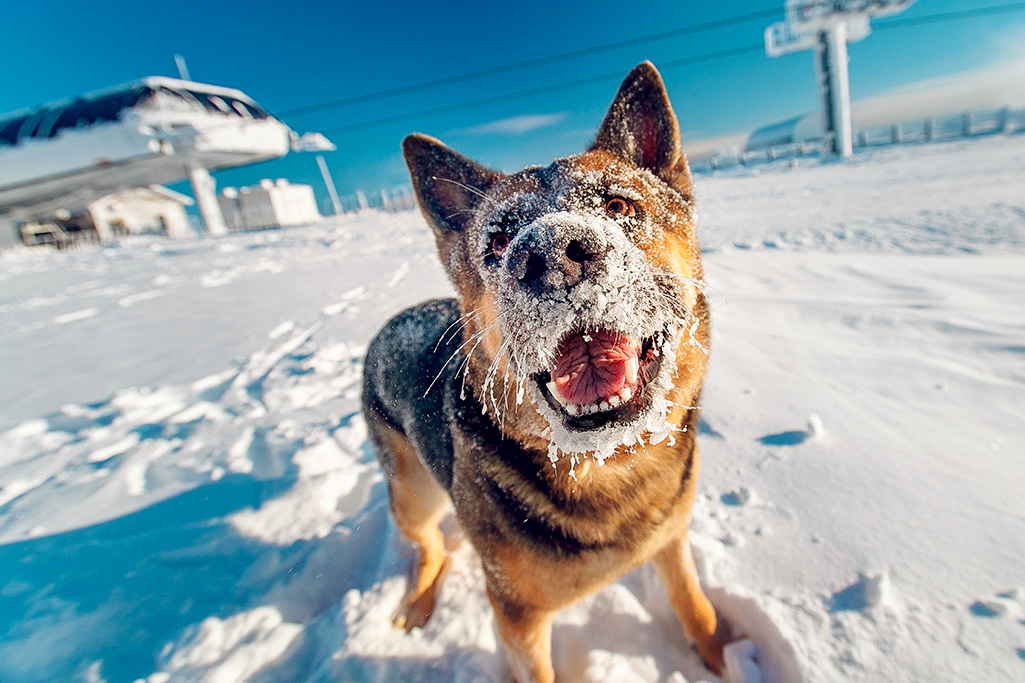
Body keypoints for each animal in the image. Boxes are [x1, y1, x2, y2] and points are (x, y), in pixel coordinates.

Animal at [362, 61, 721, 676]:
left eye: (621, 207)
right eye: (498, 240)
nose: (551, 255)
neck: (606, 464)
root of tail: (390, 323)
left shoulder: (672, 542)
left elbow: (697, 608)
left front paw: (725, 657)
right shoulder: (517, 616)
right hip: (412, 494)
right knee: (429, 545)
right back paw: (419, 603)